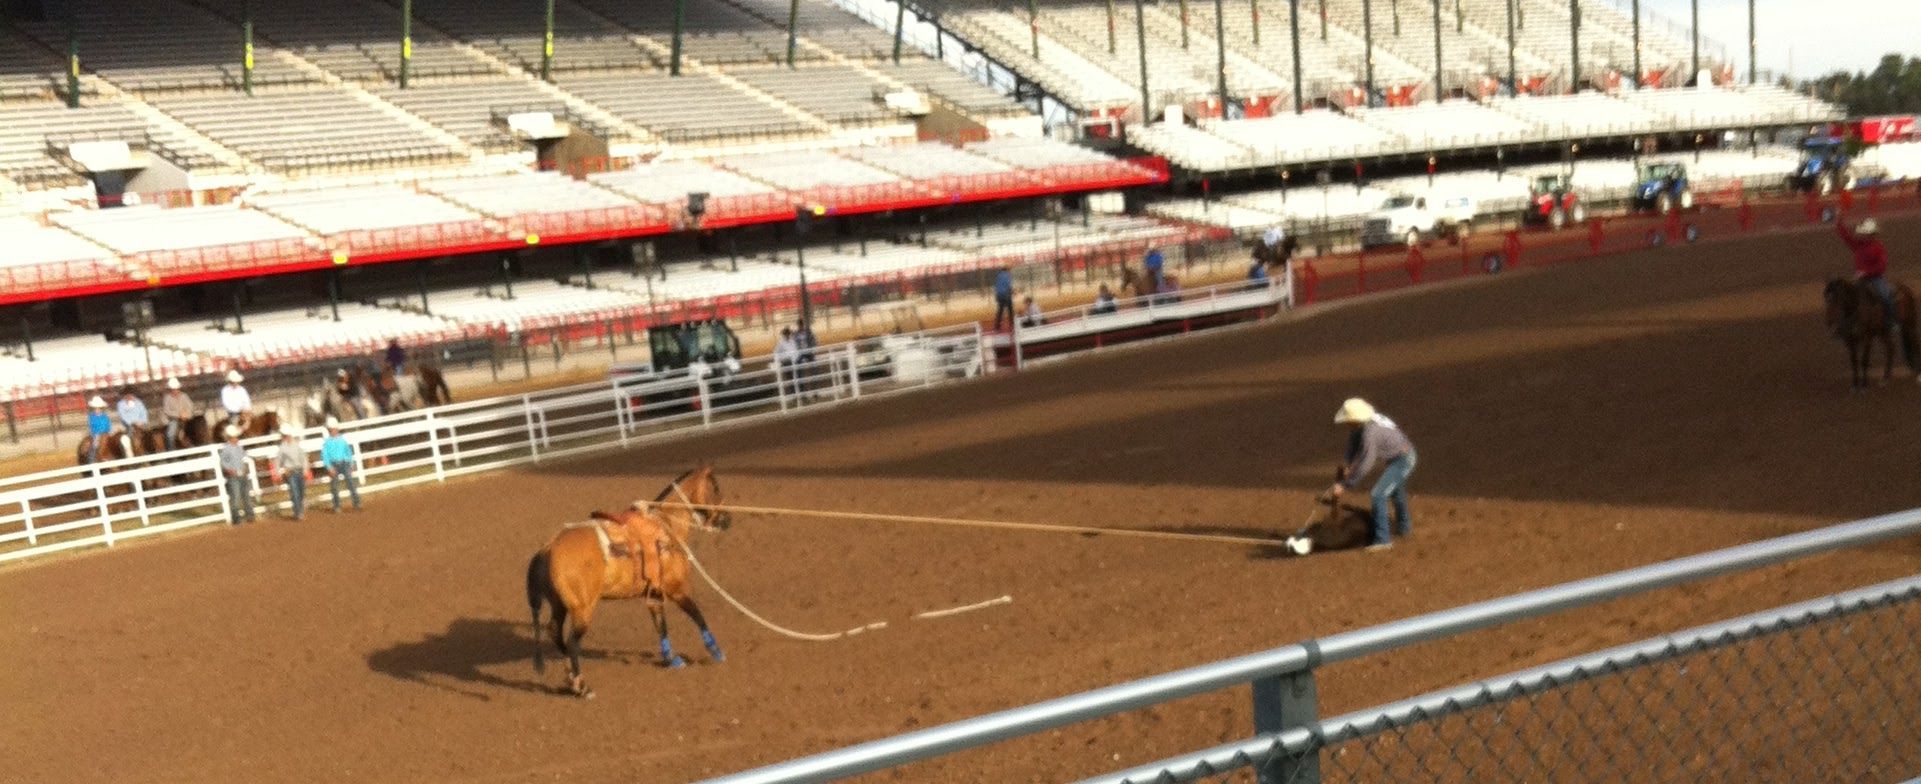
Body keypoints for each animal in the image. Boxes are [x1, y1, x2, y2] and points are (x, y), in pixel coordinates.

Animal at [526, 465, 733, 699]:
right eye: (715, 488)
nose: (727, 520)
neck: (667, 527)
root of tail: (548, 548)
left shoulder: (655, 593)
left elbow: (661, 625)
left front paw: (671, 659)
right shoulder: (677, 589)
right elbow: (698, 616)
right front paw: (715, 651)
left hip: (560, 605)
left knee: (554, 632)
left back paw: (571, 679)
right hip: (582, 610)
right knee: (571, 642)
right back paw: (582, 686)